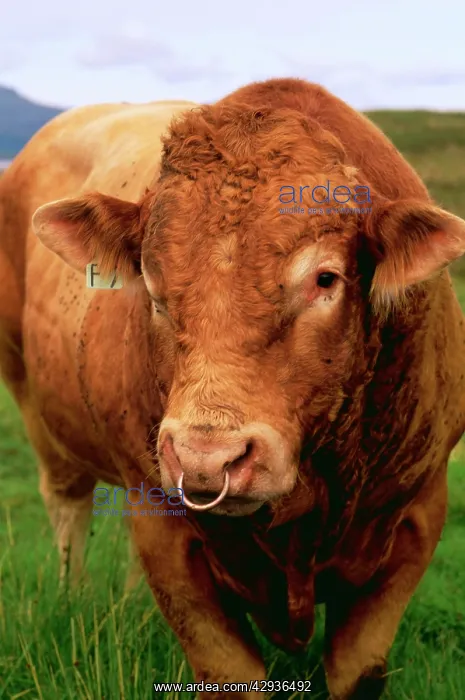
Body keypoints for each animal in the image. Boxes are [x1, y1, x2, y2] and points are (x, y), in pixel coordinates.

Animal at [0, 78, 465, 700]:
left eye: (326, 279)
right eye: (151, 284)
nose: (207, 457)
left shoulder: (416, 515)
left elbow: (358, 671)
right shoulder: (167, 534)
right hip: (38, 411)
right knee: (68, 513)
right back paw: (73, 603)